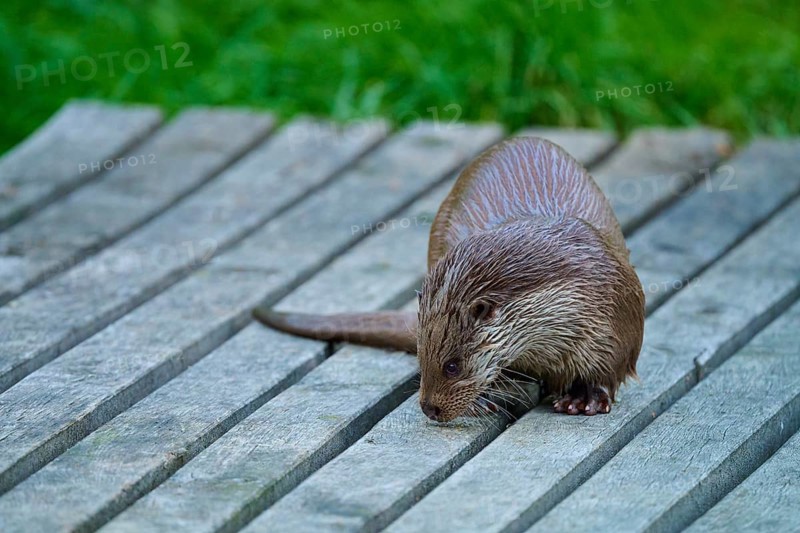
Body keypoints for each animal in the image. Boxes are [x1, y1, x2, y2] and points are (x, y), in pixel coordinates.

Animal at [254, 137, 645, 422]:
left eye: (452, 366)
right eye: (420, 355)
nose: (429, 408)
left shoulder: (618, 321)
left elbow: (608, 369)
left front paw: (584, 396)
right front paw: (485, 398)